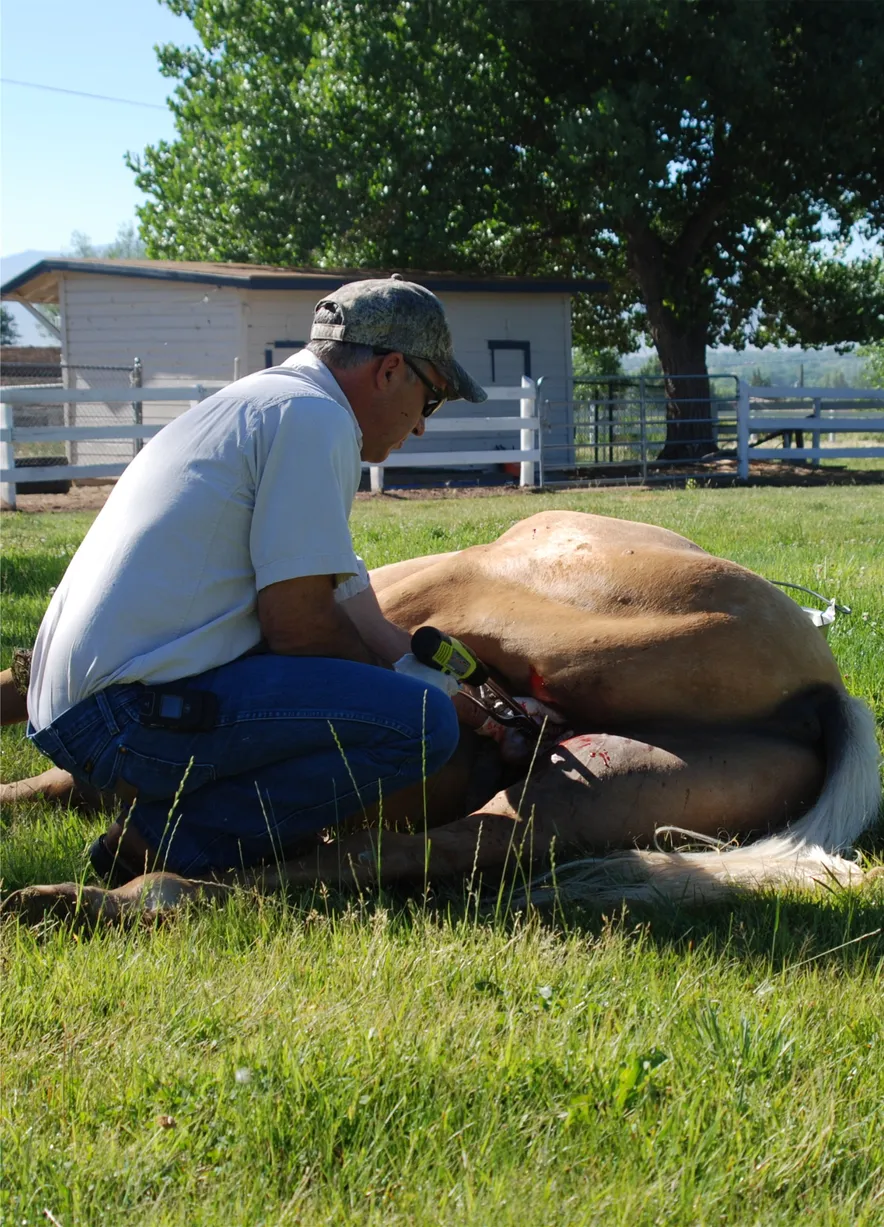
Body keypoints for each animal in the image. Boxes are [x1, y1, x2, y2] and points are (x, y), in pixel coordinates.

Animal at [3, 505, 879, 922]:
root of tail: (820, 688)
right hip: (565, 801)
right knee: (392, 857)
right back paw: (109, 896)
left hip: (493, 603)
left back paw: (97, 894)